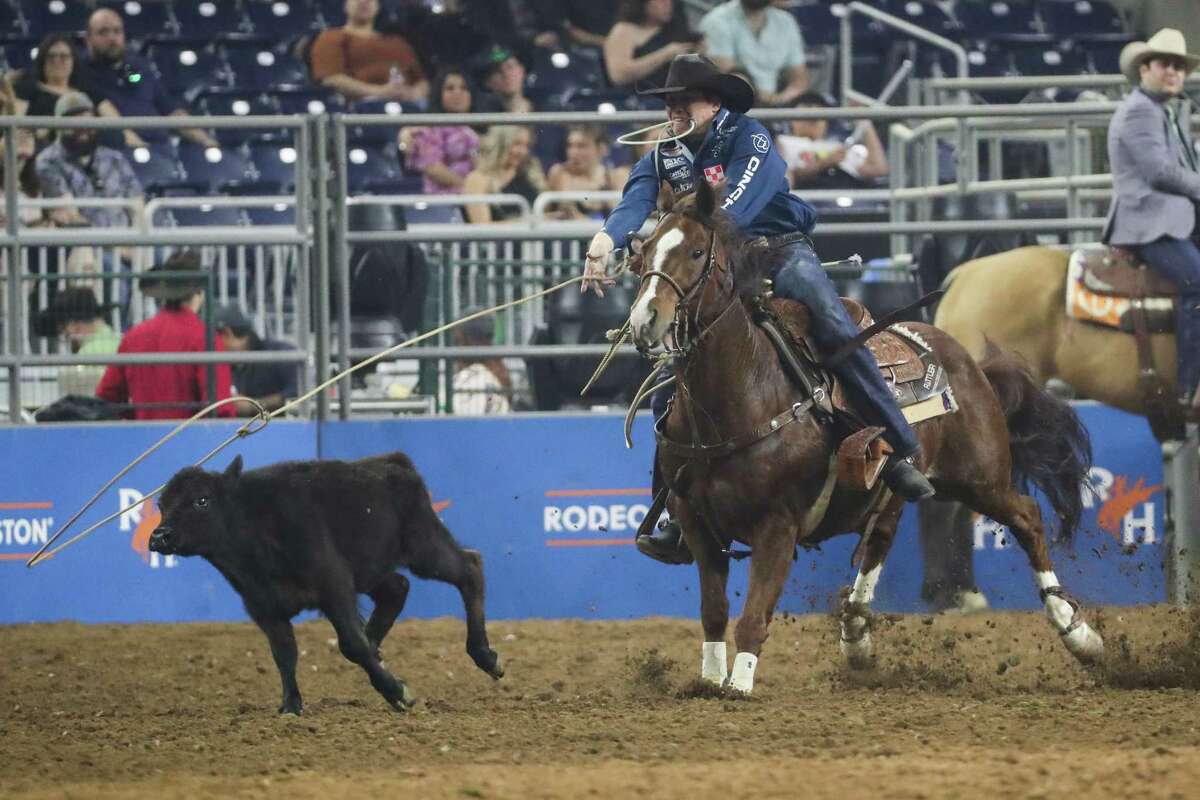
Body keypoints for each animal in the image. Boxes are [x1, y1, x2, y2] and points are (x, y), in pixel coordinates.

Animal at [628, 183, 1104, 695]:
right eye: (644, 251)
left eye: (697, 251)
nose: (646, 320)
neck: (741, 394)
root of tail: (968, 358)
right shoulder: (697, 524)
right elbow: (714, 612)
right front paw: (710, 683)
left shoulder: (777, 526)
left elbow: (754, 617)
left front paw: (738, 687)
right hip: (898, 490)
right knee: (880, 540)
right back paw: (855, 635)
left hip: (981, 478)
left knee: (1028, 518)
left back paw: (1079, 633)